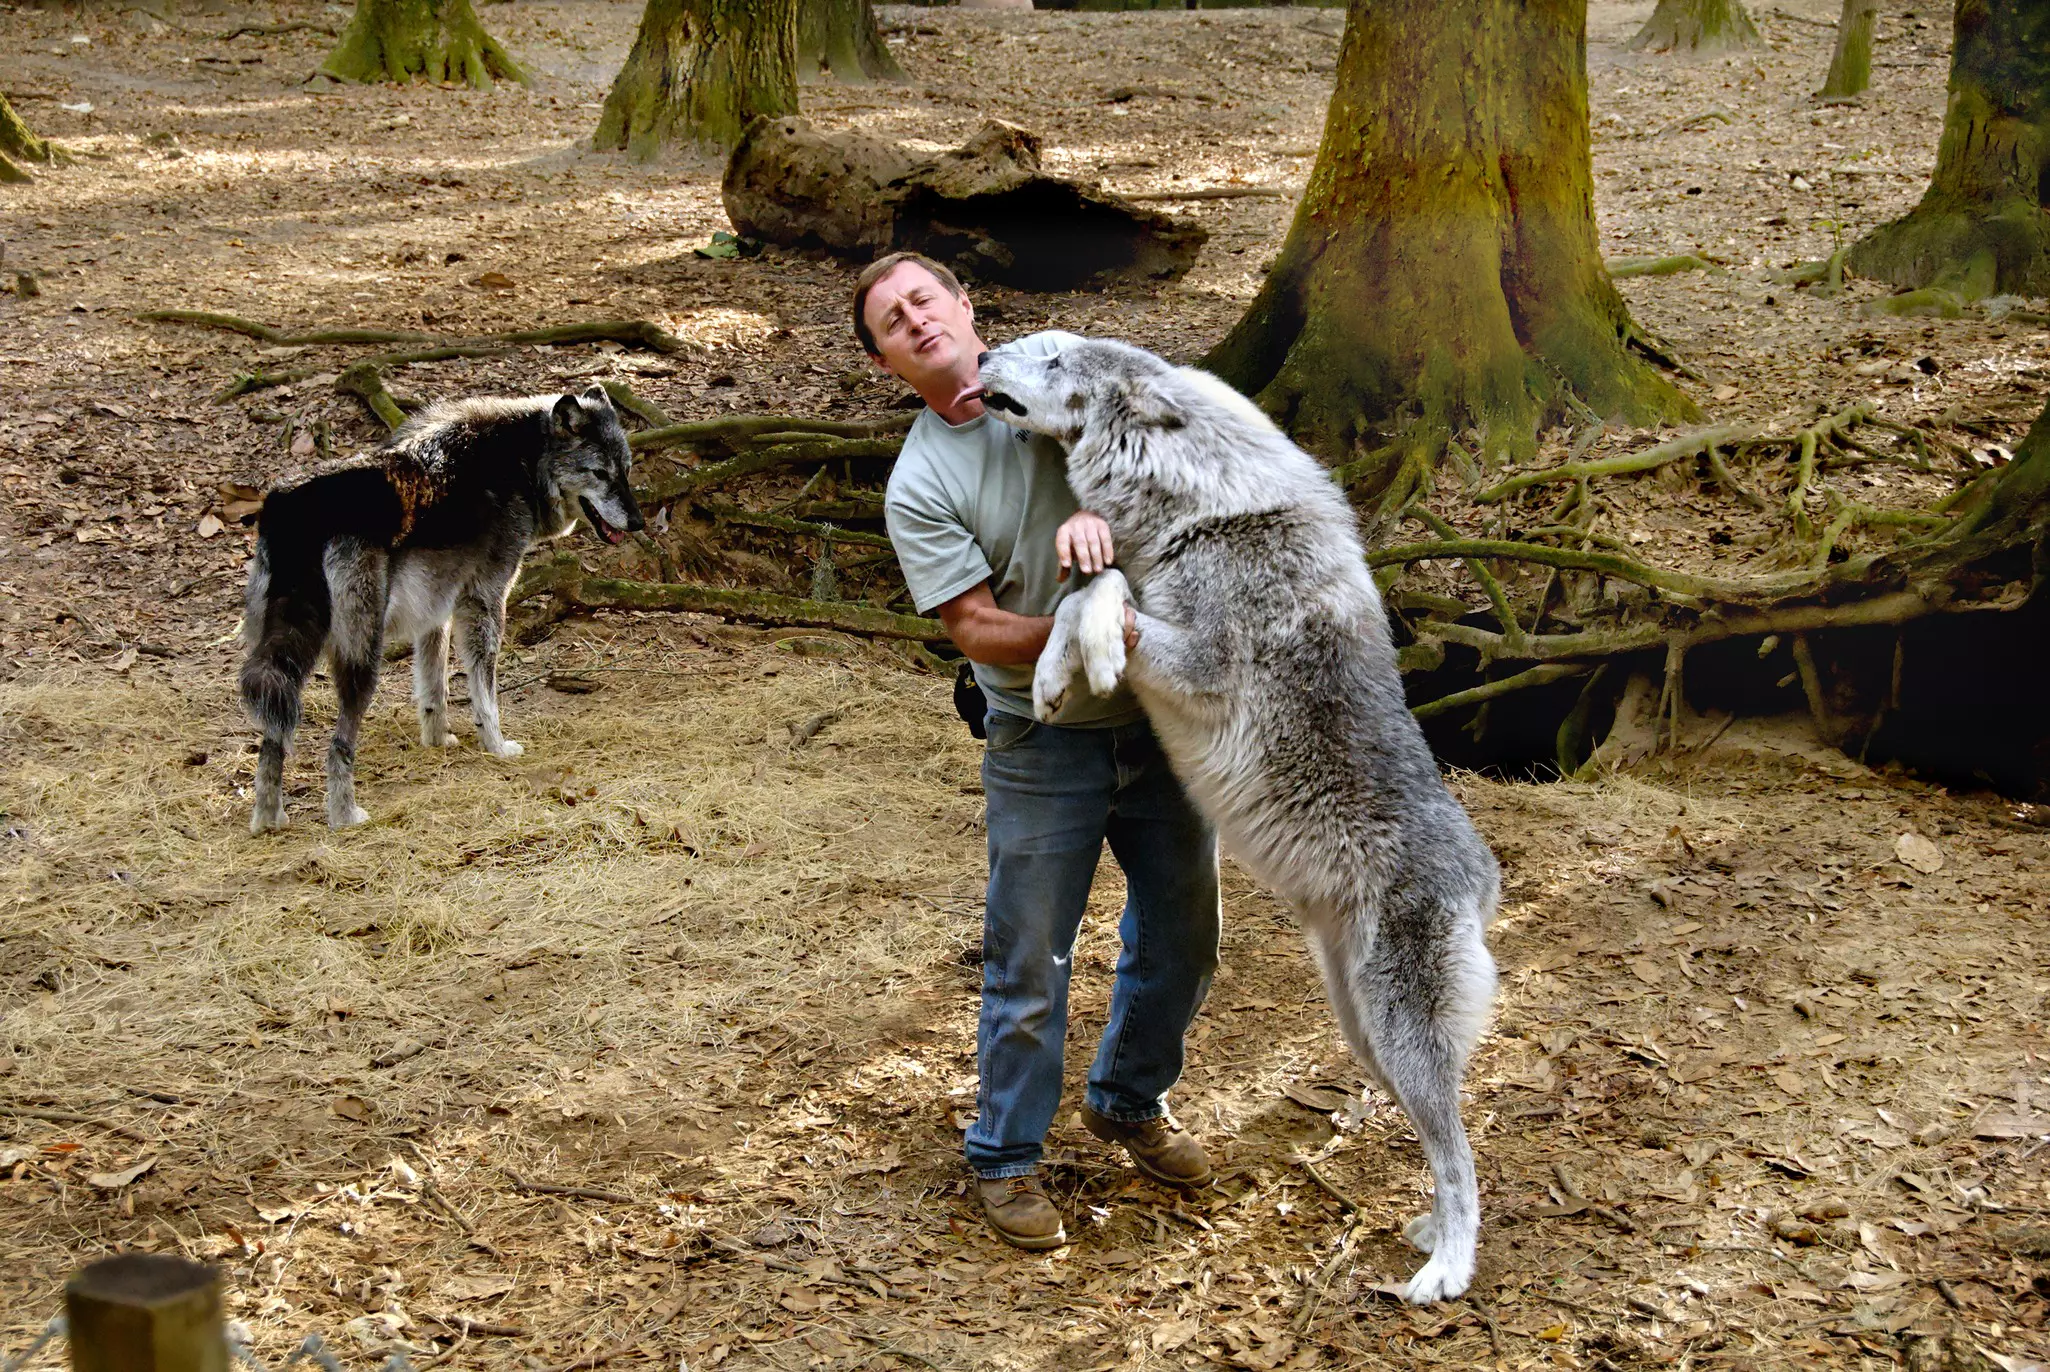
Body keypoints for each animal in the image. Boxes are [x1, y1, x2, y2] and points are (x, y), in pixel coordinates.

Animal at [240, 385, 643, 835]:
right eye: (599, 474)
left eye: (625, 471)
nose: (639, 522)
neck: (522, 462)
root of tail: (292, 507)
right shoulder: (484, 602)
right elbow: (485, 694)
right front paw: (497, 746)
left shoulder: (435, 612)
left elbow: (435, 689)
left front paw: (438, 741)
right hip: (362, 659)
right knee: (337, 745)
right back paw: (345, 816)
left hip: (286, 658)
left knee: (271, 740)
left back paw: (269, 820)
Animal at [971, 340, 1501, 1303]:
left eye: (1056, 353)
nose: (985, 350)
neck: (1204, 511)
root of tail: (1483, 883)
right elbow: (1088, 587)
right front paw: (1054, 675)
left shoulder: (1205, 666)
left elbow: (1102, 591)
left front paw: (1083, 659)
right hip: (1365, 1031)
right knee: (1443, 1140)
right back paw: (1426, 1235)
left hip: (1398, 1033)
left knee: (1461, 1154)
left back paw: (1446, 1269)